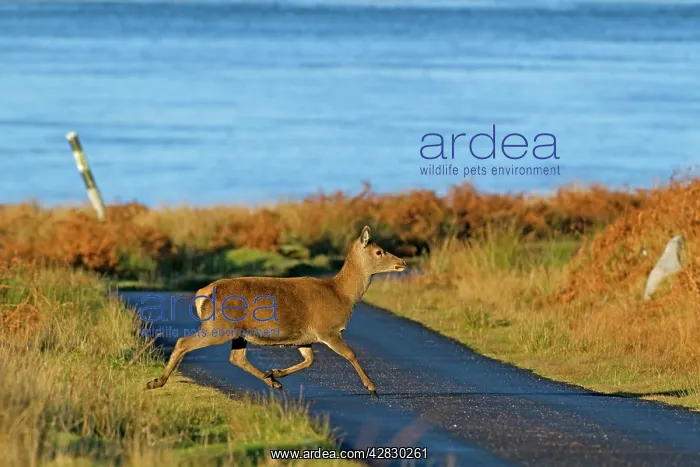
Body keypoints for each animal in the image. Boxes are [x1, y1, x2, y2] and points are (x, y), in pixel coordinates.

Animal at [145, 225, 406, 397]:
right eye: (379, 252)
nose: (402, 262)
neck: (342, 295)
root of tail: (204, 292)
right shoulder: (327, 328)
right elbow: (350, 354)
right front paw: (372, 388)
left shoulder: (305, 337)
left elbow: (309, 360)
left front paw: (276, 372)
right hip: (218, 326)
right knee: (183, 342)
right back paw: (156, 382)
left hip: (237, 332)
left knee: (236, 358)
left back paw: (272, 382)